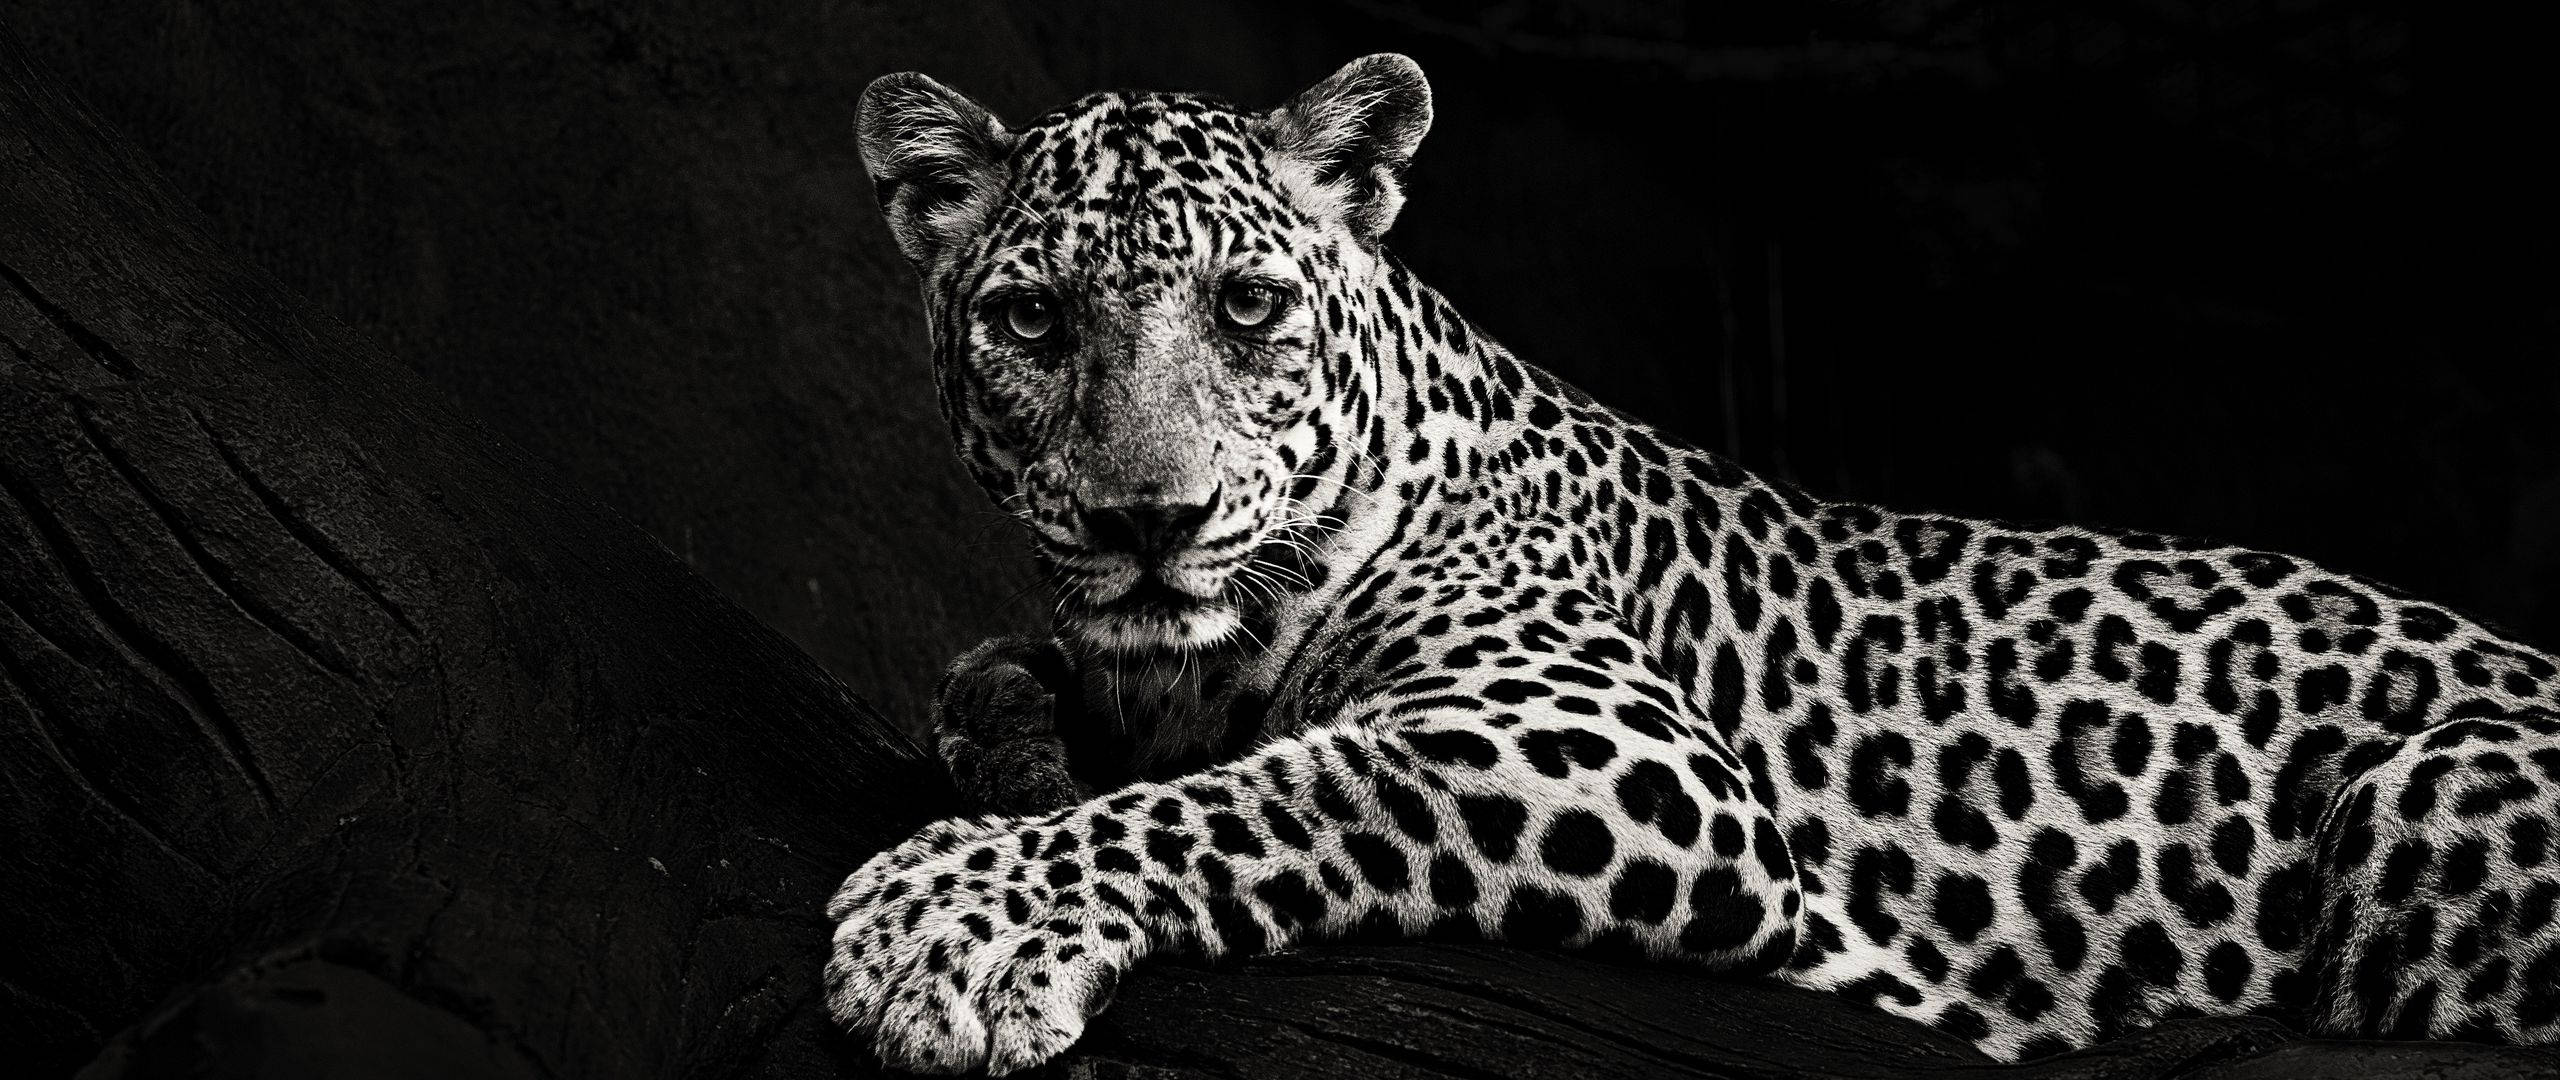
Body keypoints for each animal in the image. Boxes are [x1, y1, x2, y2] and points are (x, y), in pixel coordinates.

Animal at [825, 54, 2560, 1075]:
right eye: (1032, 320)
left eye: (1247, 308)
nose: (1150, 520)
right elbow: (997, 687)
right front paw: (1020, 761)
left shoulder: (1605, 746)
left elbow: (1276, 791)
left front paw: (947, 921)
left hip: (2425, 793)